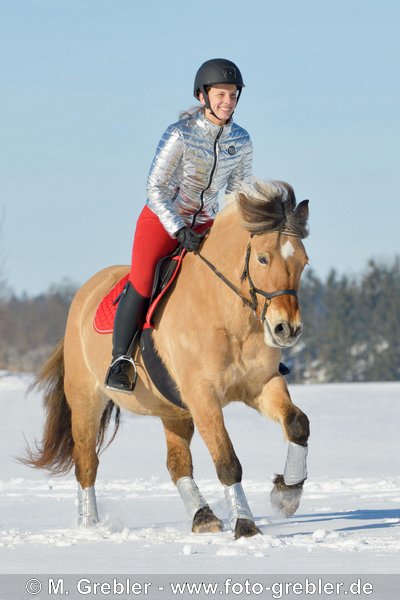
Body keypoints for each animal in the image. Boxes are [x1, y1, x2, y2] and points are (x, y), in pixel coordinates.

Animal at [23, 178, 310, 540]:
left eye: (303, 262)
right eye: (262, 258)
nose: (287, 329)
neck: (227, 315)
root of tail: (83, 296)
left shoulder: (261, 385)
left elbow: (297, 424)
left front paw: (287, 494)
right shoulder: (203, 396)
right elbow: (228, 462)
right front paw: (245, 526)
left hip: (173, 410)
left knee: (176, 463)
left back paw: (203, 516)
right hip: (86, 399)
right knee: (86, 463)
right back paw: (91, 527)